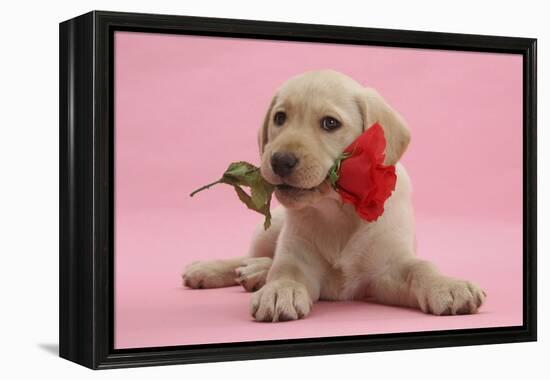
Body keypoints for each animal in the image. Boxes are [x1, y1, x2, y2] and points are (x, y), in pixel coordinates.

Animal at [183, 70, 486, 320]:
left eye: (330, 123)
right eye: (280, 118)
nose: (280, 161)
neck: (337, 209)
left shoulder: (388, 269)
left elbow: (420, 268)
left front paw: (448, 285)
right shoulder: (298, 255)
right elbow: (286, 270)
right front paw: (279, 290)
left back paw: (255, 273)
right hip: (269, 229)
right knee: (252, 256)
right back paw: (213, 269)